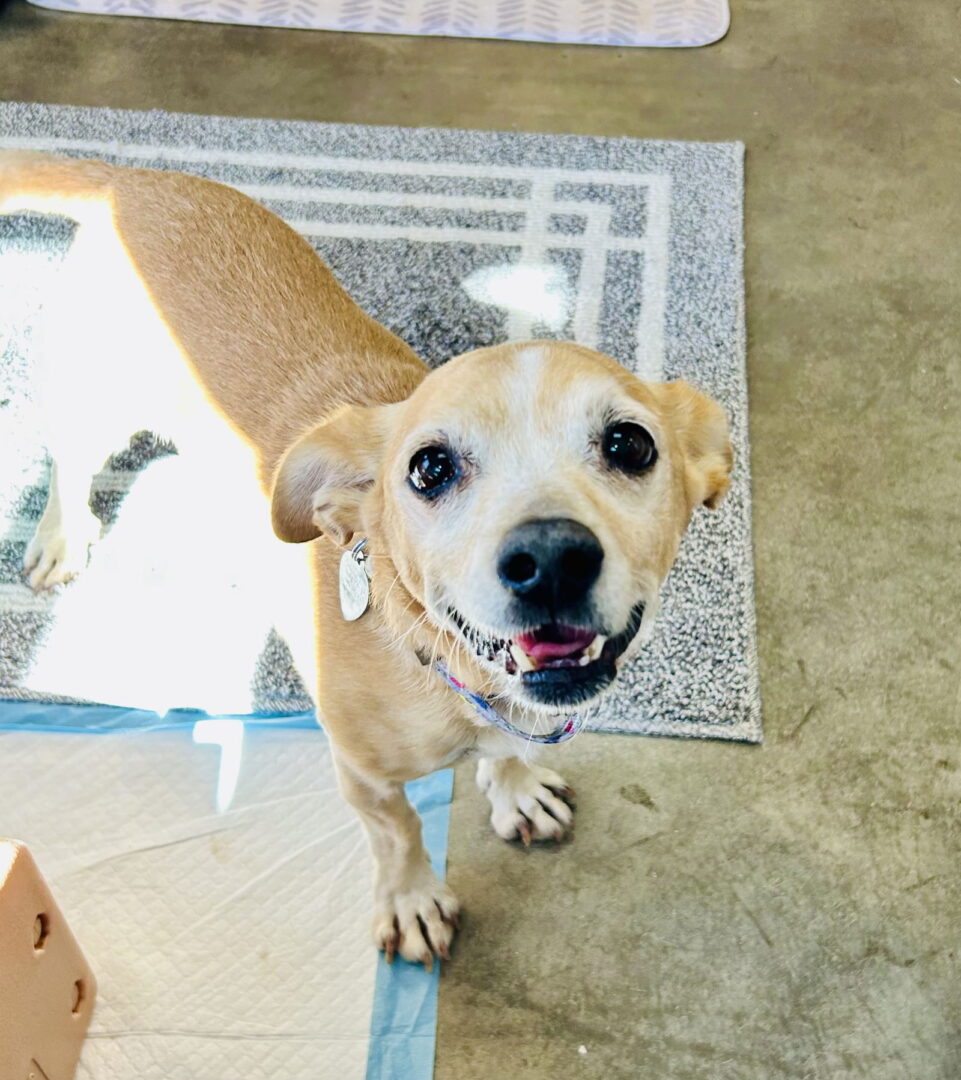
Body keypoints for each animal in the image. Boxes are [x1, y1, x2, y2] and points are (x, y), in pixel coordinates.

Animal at [0, 152, 732, 967]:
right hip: (94, 403)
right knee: (67, 460)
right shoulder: (362, 776)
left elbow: (508, 753)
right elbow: (400, 833)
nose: (550, 560)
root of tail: (131, 179)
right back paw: (63, 534)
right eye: (429, 468)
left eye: (630, 445)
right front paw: (411, 900)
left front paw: (515, 788)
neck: (445, 667)